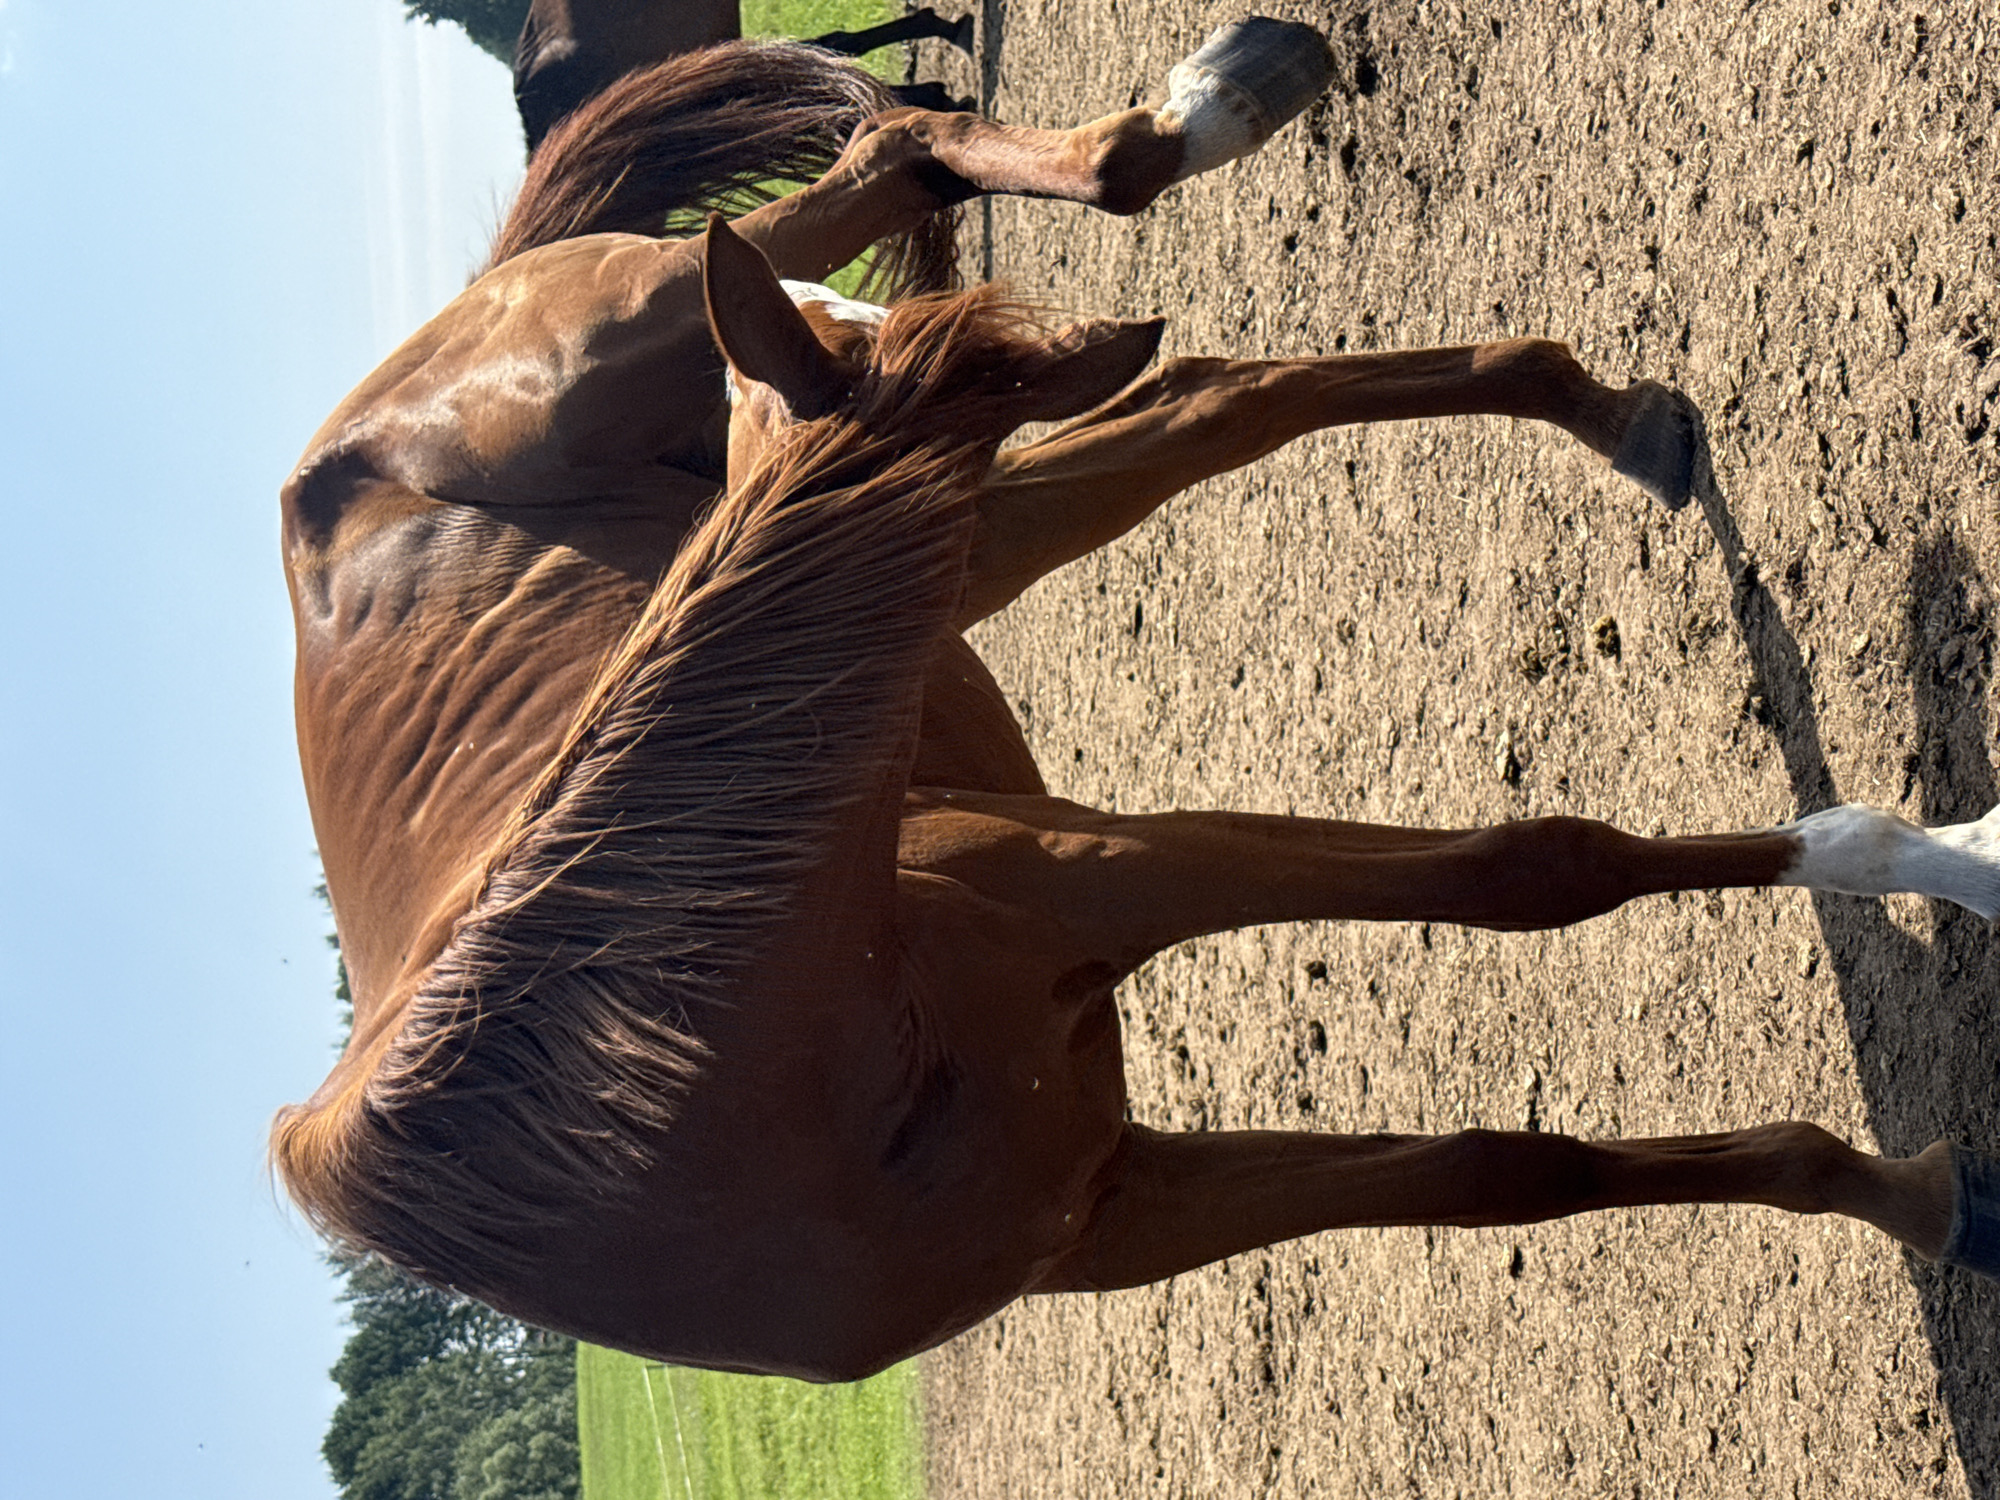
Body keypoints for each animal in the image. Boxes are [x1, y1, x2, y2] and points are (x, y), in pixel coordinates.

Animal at [274, 20, 2000, 1382]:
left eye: (941, 347)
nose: (1076, 343)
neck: (711, 1084)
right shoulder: (1118, 1206)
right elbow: (1516, 1156)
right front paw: (1925, 1190)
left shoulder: (1114, 879)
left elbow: (1533, 875)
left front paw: (1953, 864)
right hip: (965, 542)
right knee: (1218, 394)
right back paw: (1576, 390)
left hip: (743, 382)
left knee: (940, 169)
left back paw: (1231, 105)